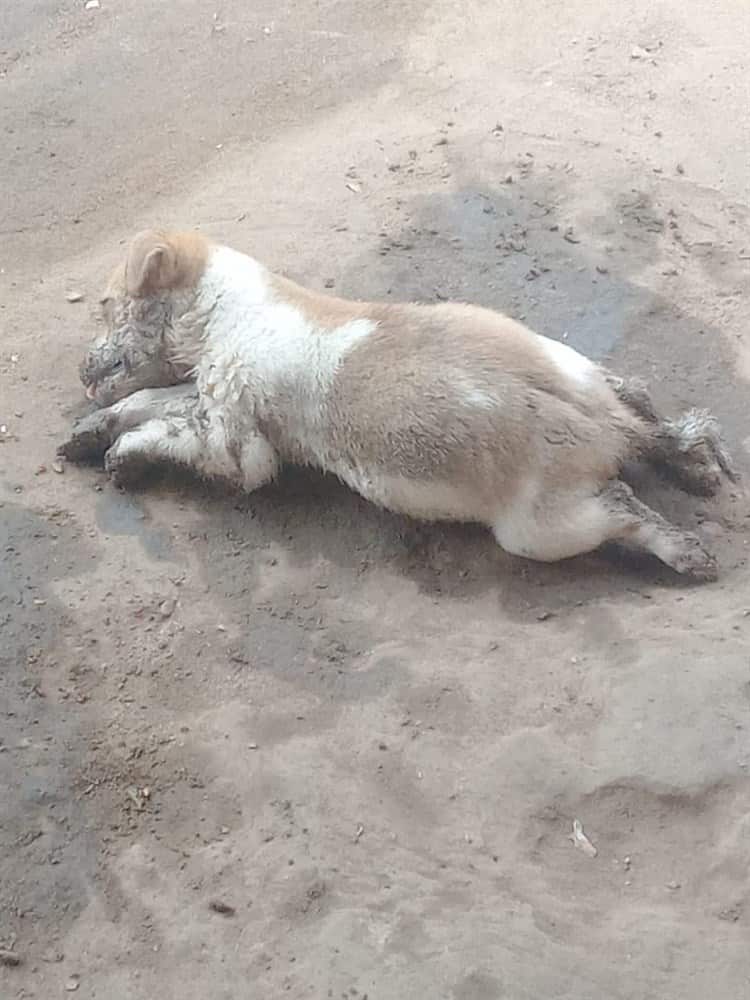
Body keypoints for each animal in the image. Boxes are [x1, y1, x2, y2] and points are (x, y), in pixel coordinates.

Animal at [60, 228, 740, 584]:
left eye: (106, 304)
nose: (81, 370)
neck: (226, 310)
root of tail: (603, 428)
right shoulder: (205, 396)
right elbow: (154, 398)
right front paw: (88, 431)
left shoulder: (239, 448)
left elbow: (167, 429)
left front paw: (120, 453)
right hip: (576, 366)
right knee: (643, 400)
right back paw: (694, 464)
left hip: (544, 527)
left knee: (624, 504)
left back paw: (690, 556)